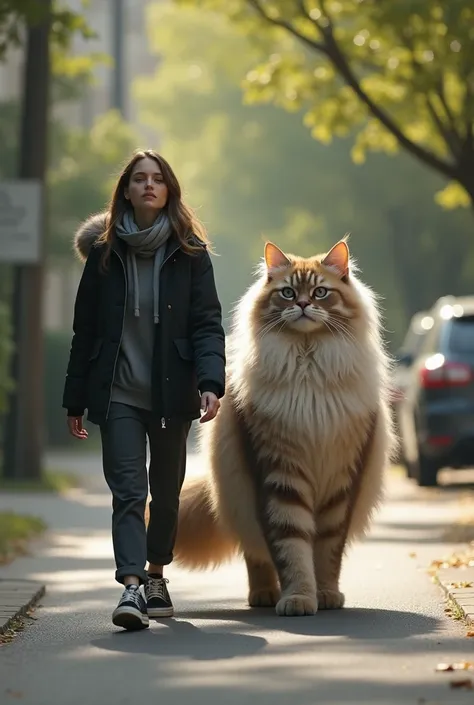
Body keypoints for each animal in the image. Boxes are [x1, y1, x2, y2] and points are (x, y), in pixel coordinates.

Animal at [172, 239, 394, 612]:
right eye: (288, 293)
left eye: (320, 292)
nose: (303, 304)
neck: (308, 364)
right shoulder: (279, 474)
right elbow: (292, 548)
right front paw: (299, 598)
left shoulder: (342, 482)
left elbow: (328, 551)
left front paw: (325, 594)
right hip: (240, 495)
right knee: (256, 555)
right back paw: (263, 595)